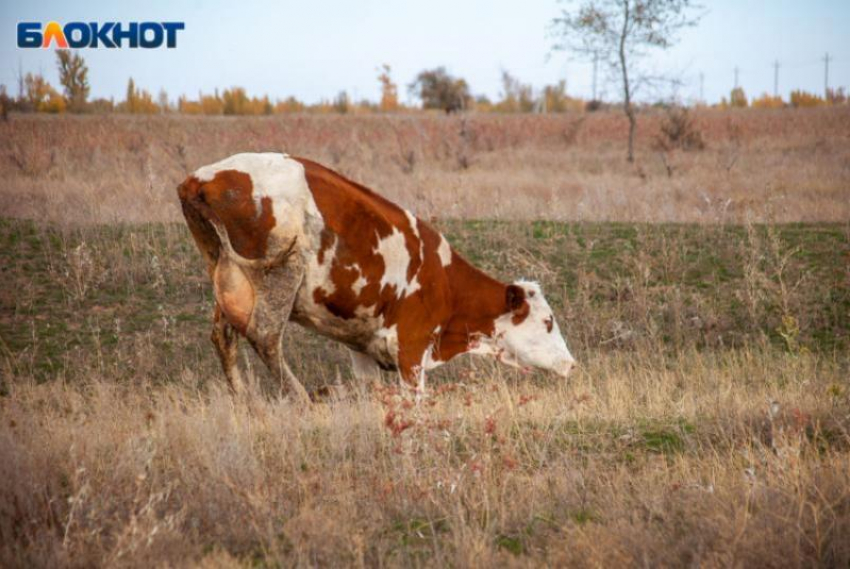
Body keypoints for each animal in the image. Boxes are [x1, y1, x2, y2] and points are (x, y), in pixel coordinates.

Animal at [176, 152, 572, 400]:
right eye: (548, 321)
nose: (571, 363)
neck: (445, 283)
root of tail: (200, 179)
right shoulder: (412, 347)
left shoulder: (363, 350)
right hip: (281, 271)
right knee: (264, 335)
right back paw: (299, 397)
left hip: (223, 271)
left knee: (223, 336)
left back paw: (246, 400)